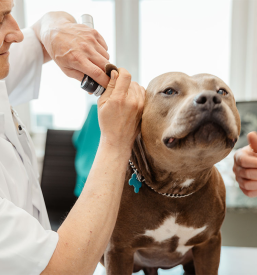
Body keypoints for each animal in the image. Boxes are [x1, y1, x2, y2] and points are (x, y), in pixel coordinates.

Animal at [100, 72, 240, 274]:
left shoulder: (210, 244)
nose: (210, 98)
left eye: (222, 91)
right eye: (169, 91)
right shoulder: (118, 251)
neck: (175, 189)